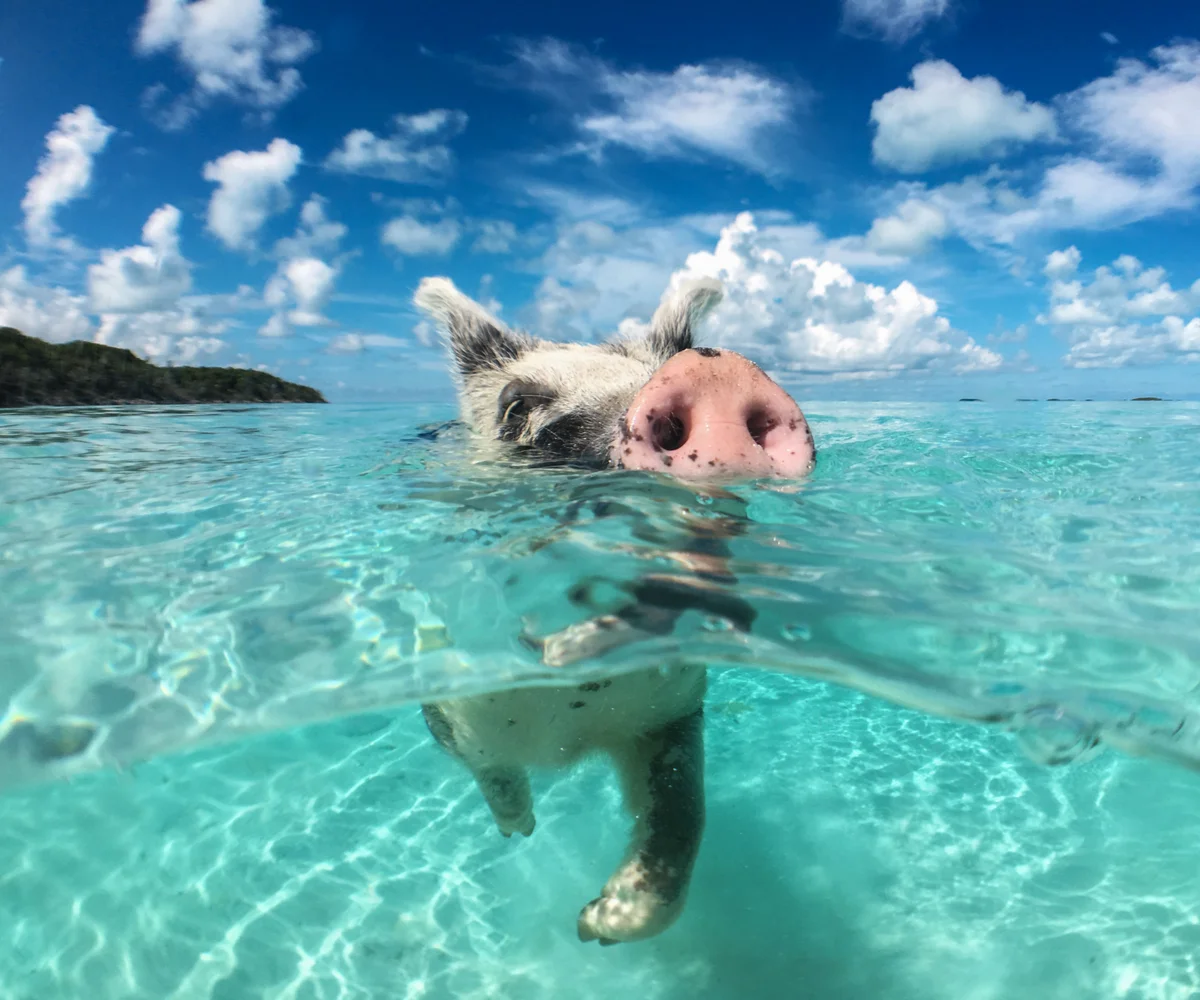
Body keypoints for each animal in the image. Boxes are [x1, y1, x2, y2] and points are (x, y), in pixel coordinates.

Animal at [411, 275, 815, 945]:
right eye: (515, 408)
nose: (716, 371)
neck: (566, 724)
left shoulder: (673, 712)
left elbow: (684, 810)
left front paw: (595, 924)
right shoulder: (447, 700)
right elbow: (488, 767)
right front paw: (520, 830)